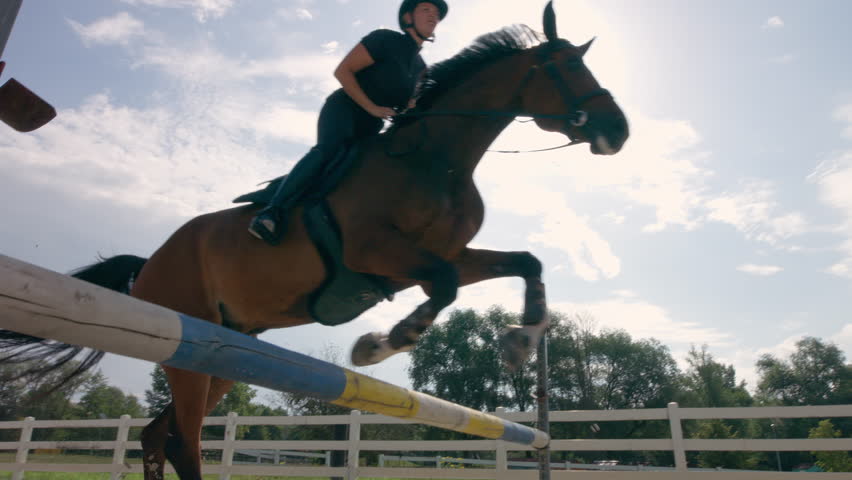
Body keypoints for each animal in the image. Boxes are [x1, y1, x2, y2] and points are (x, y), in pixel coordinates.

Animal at [0, 3, 628, 479]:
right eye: (568, 65)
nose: (618, 131)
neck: (436, 159)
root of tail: (150, 261)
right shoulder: (377, 253)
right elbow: (445, 286)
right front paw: (382, 342)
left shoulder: (439, 257)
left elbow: (523, 261)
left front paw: (521, 341)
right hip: (188, 342)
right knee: (182, 441)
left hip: (226, 351)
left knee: (158, 438)